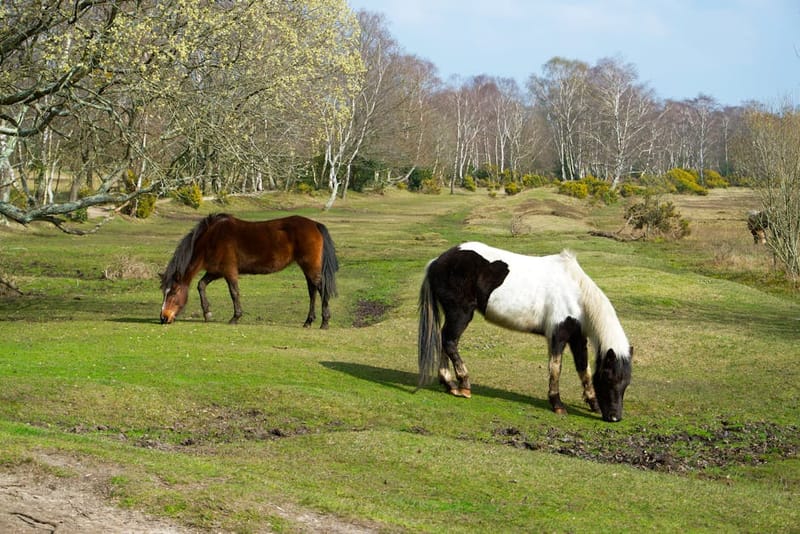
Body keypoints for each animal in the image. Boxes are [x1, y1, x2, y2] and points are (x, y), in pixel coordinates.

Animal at [160, 213, 338, 327]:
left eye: (173, 292)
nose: (163, 317)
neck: (212, 238)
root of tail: (314, 224)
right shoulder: (216, 271)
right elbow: (201, 285)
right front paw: (207, 313)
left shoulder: (229, 271)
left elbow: (234, 293)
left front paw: (235, 317)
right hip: (307, 268)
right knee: (312, 291)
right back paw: (308, 321)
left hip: (310, 267)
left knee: (321, 289)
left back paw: (325, 322)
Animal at [418, 242, 633, 422]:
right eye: (608, 377)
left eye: (626, 383)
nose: (615, 417)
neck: (576, 293)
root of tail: (436, 261)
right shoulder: (558, 335)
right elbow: (556, 368)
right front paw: (557, 404)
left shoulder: (578, 338)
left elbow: (584, 370)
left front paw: (592, 403)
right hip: (460, 314)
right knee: (449, 341)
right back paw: (463, 385)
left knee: (444, 341)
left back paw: (450, 385)